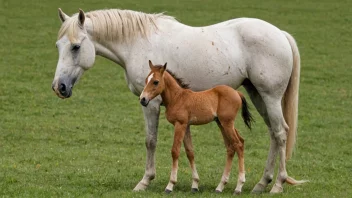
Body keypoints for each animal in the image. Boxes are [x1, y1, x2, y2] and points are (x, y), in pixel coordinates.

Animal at [140, 60, 253, 193]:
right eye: (146, 80)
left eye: (156, 81)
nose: (143, 99)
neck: (177, 97)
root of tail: (237, 92)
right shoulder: (186, 126)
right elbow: (190, 152)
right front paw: (195, 185)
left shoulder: (180, 124)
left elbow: (175, 151)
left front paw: (170, 185)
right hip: (222, 123)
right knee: (232, 146)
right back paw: (220, 186)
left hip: (227, 123)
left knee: (238, 145)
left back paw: (239, 186)